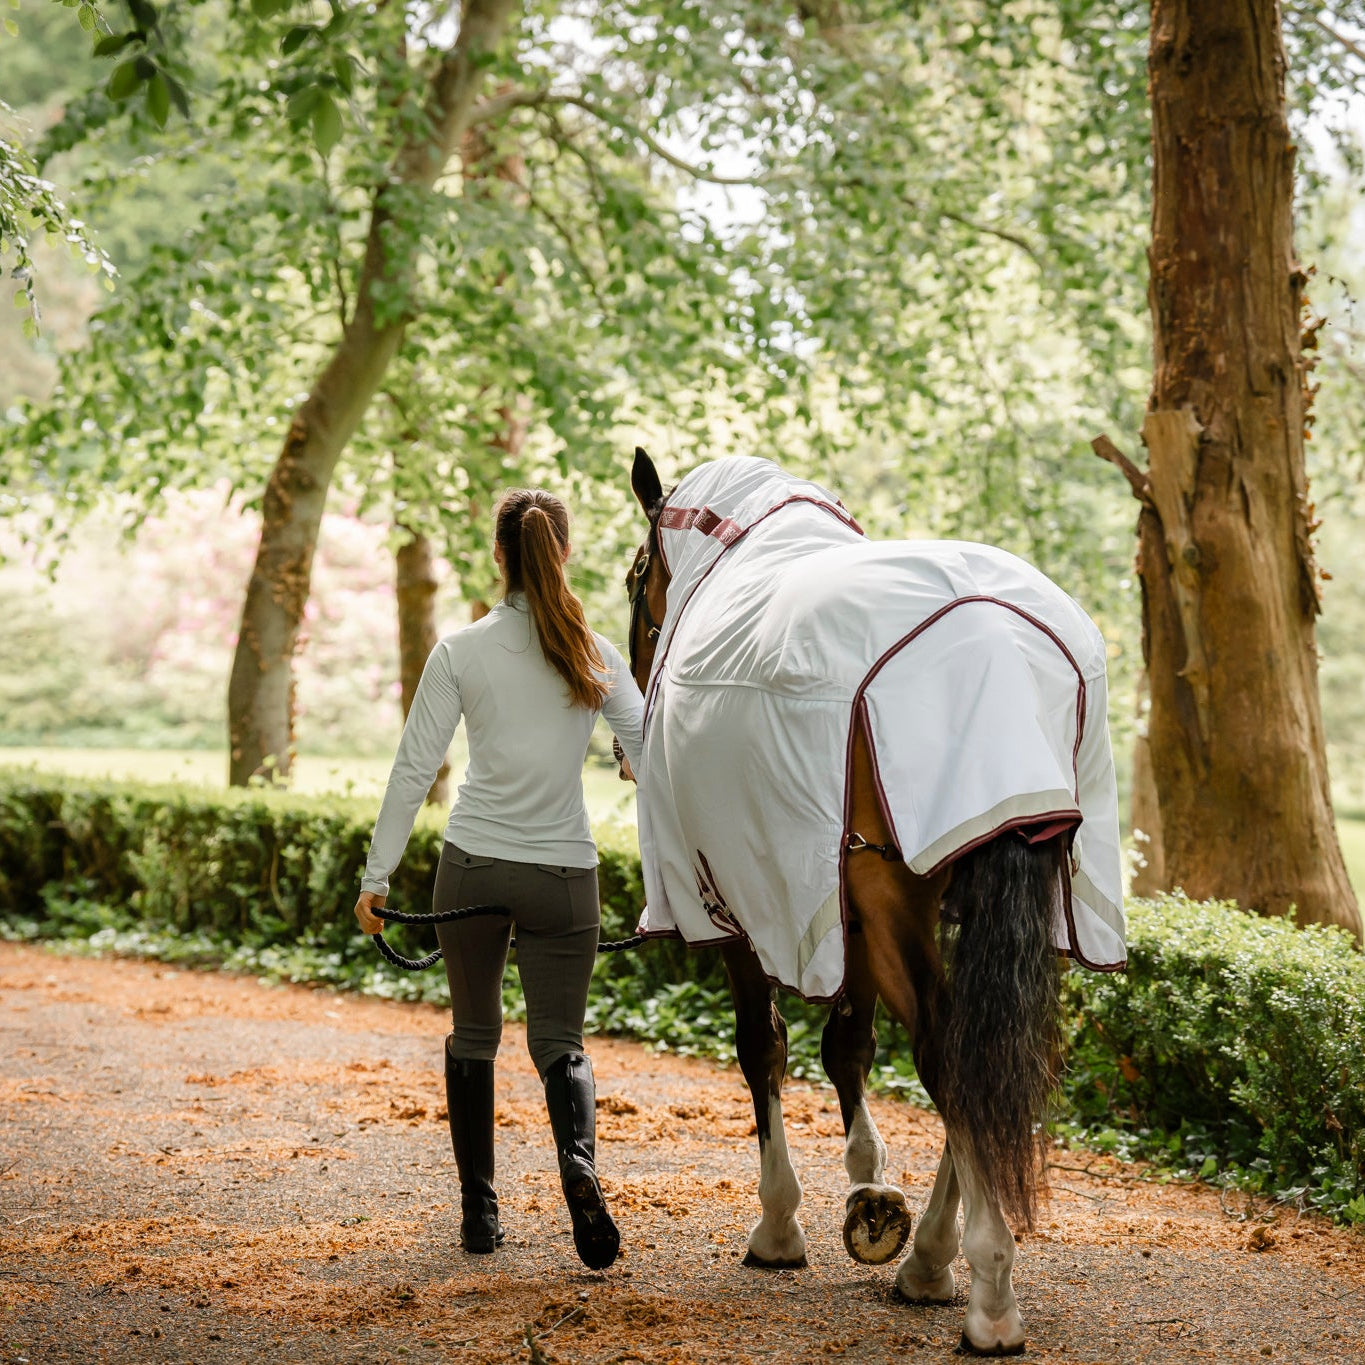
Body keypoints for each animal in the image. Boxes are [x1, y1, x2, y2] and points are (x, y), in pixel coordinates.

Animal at [620, 449, 1125, 1356]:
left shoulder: (741, 905)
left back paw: (979, 1287)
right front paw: (868, 1188)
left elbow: (763, 1045)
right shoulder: (831, 896)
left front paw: (780, 1225)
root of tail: (993, 638)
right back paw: (933, 1257)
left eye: (635, 573)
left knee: (948, 1053)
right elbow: (847, 1042)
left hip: (893, 896)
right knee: (982, 1053)